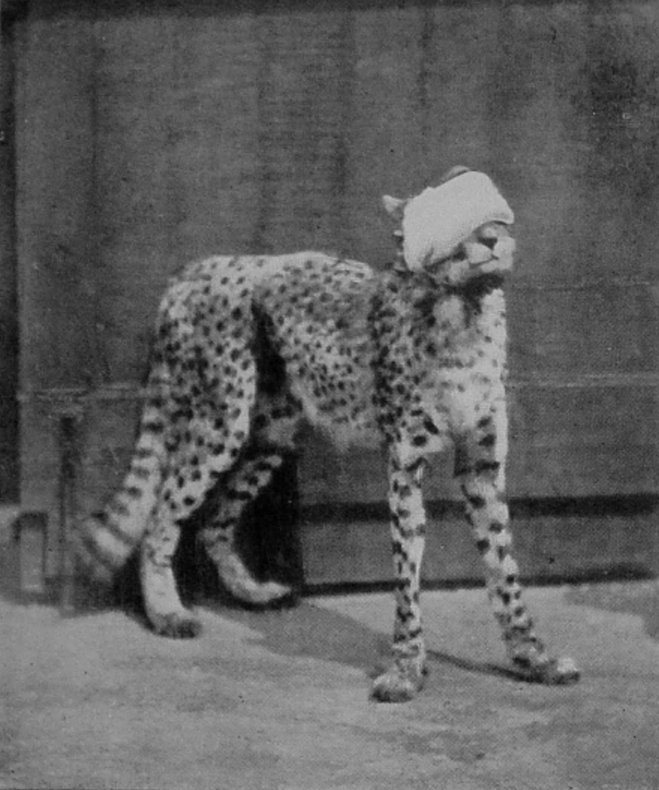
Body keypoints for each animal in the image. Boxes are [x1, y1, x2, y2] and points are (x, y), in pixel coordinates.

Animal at [75, 167, 580, 701]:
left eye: (493, 219)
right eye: (446, 222)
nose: (489, 238)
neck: (463, 309)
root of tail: (194, 268)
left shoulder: (481, 466)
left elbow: (504, 569)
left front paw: (533, 658)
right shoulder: (404, 465)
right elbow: (407, 575)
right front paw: (406, 667)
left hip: (271, 434)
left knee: (215, 518)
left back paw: (251, 591)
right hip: (222, 422)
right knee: (162, 516)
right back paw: (167, 612)